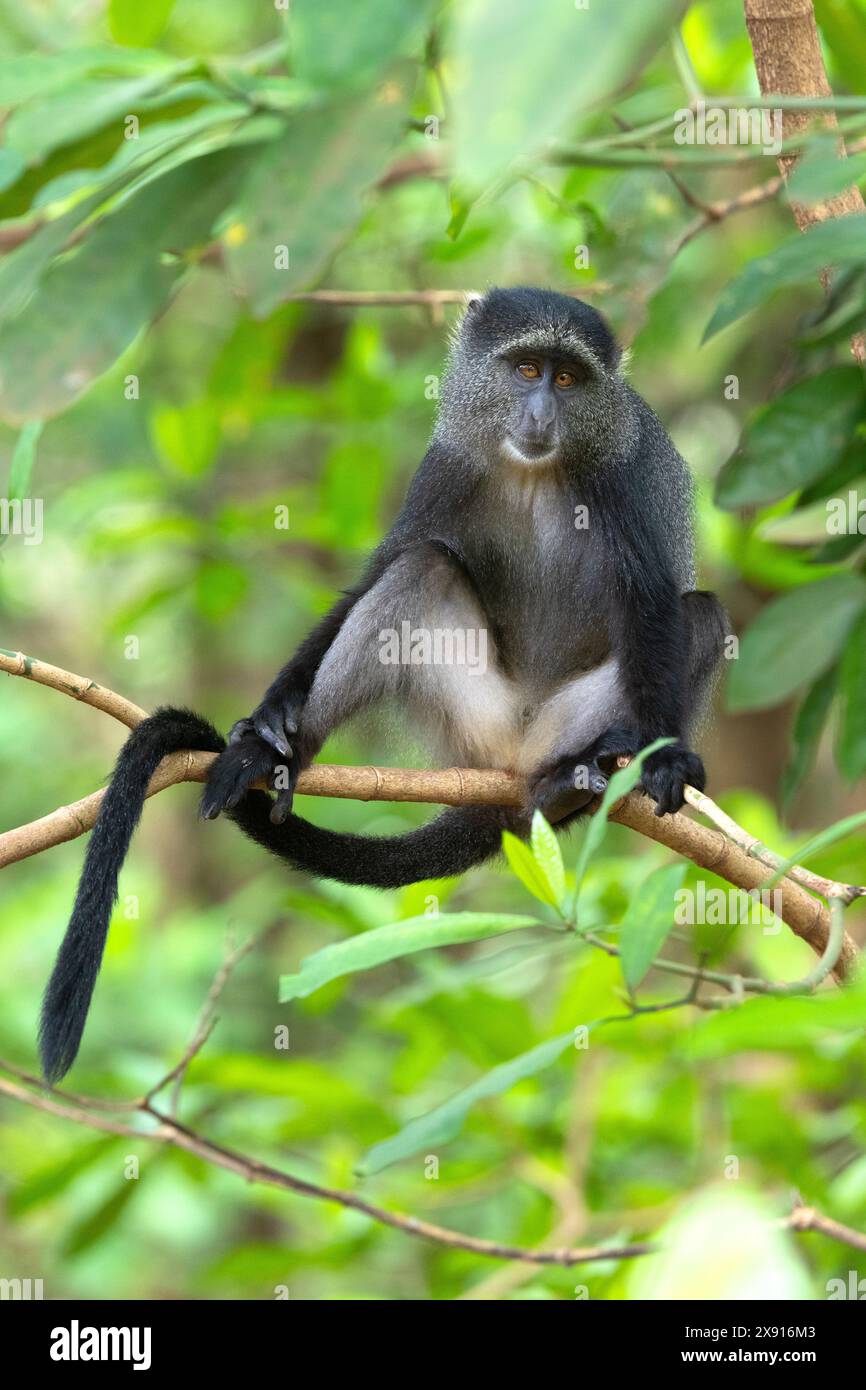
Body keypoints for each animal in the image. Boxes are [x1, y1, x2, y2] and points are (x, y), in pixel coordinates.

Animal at [42, 287, 733, 1078]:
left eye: (567, 379)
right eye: (526, 369)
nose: (540, 414)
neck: (534, 470)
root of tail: (511, 760)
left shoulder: (622, 482)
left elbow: (654, 605)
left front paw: (665, 757)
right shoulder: (443, 465)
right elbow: (384, 567)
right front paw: (270, 718)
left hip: (560, 723)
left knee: (700, 615)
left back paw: (579, 776)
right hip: (473, 719)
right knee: (422, 568)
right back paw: (274, 759)